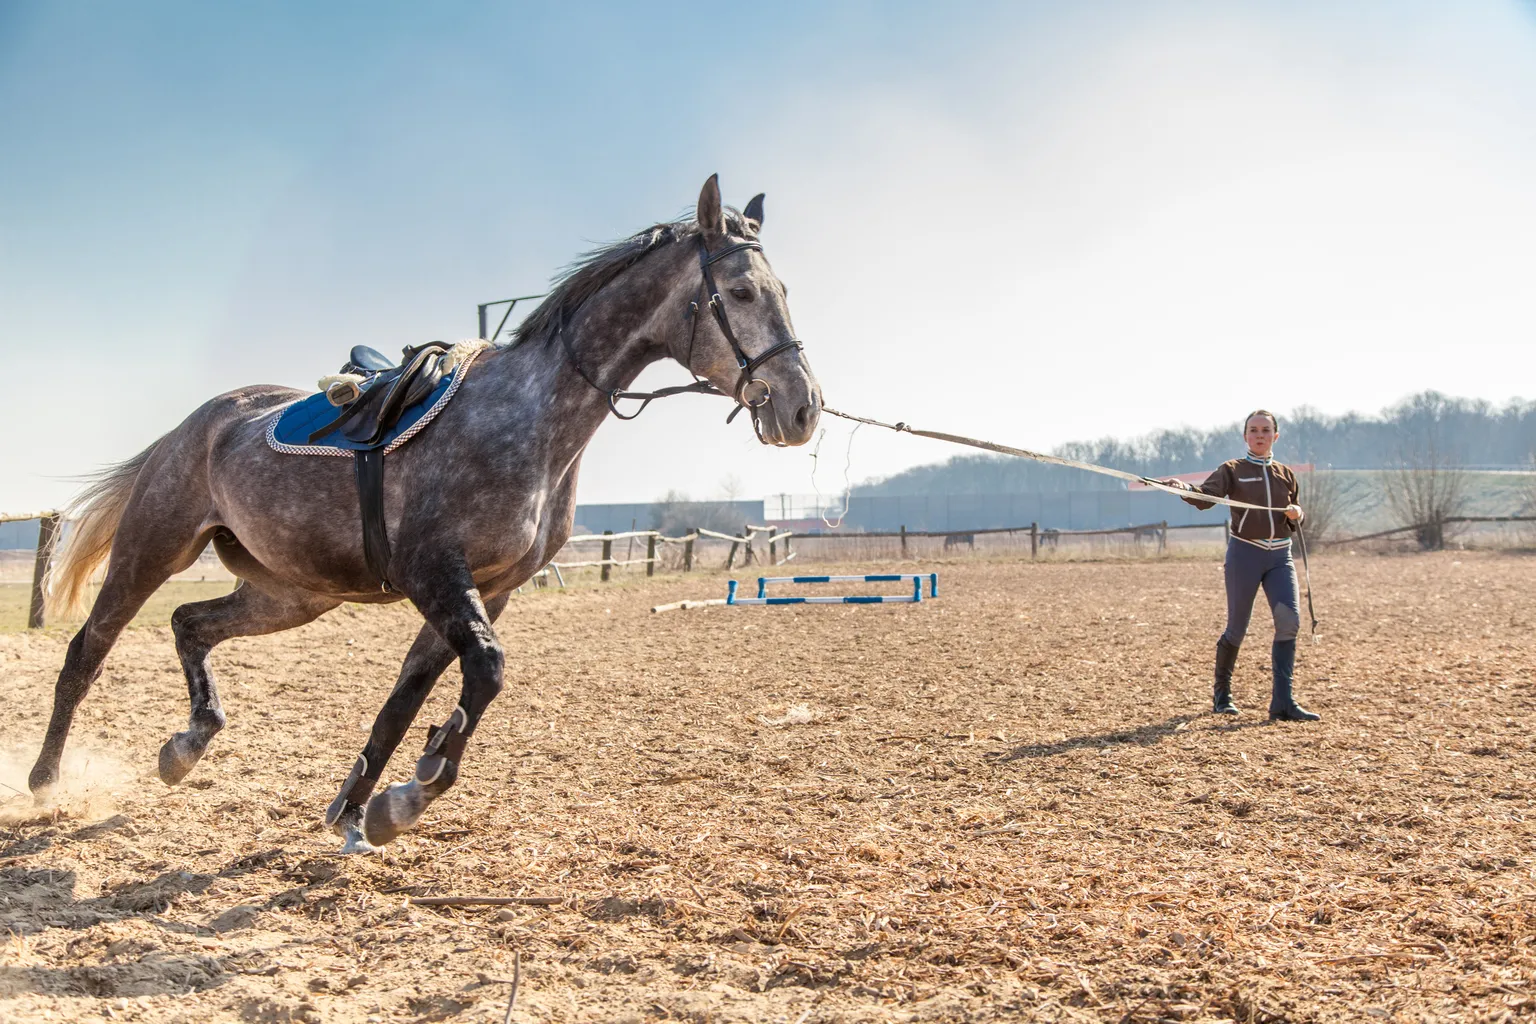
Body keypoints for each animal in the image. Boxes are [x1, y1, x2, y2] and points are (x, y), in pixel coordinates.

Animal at [33, 178, 817, 859]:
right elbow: (486, 672)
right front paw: (410, 795)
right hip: (152, 550)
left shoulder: (489, 588)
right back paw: (44, 782)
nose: (802, 408)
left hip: (292, 594)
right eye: (742, 292)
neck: (532, 418)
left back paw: (187, 744)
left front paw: (359, 809)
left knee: (188, 624)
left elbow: (407, 696)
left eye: (784, 292)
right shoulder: (433, 572)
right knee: (86, 652)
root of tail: (194, 425)